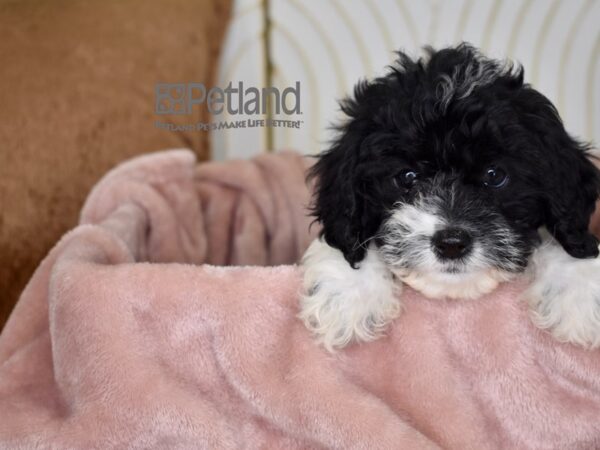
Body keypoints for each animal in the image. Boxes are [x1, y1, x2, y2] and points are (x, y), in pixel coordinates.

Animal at [300, 42, 600, 352]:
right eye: (407, 177)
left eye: (495, 175)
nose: (452, 244)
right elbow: (351, 242)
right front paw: (346, 293)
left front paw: (577, 289)